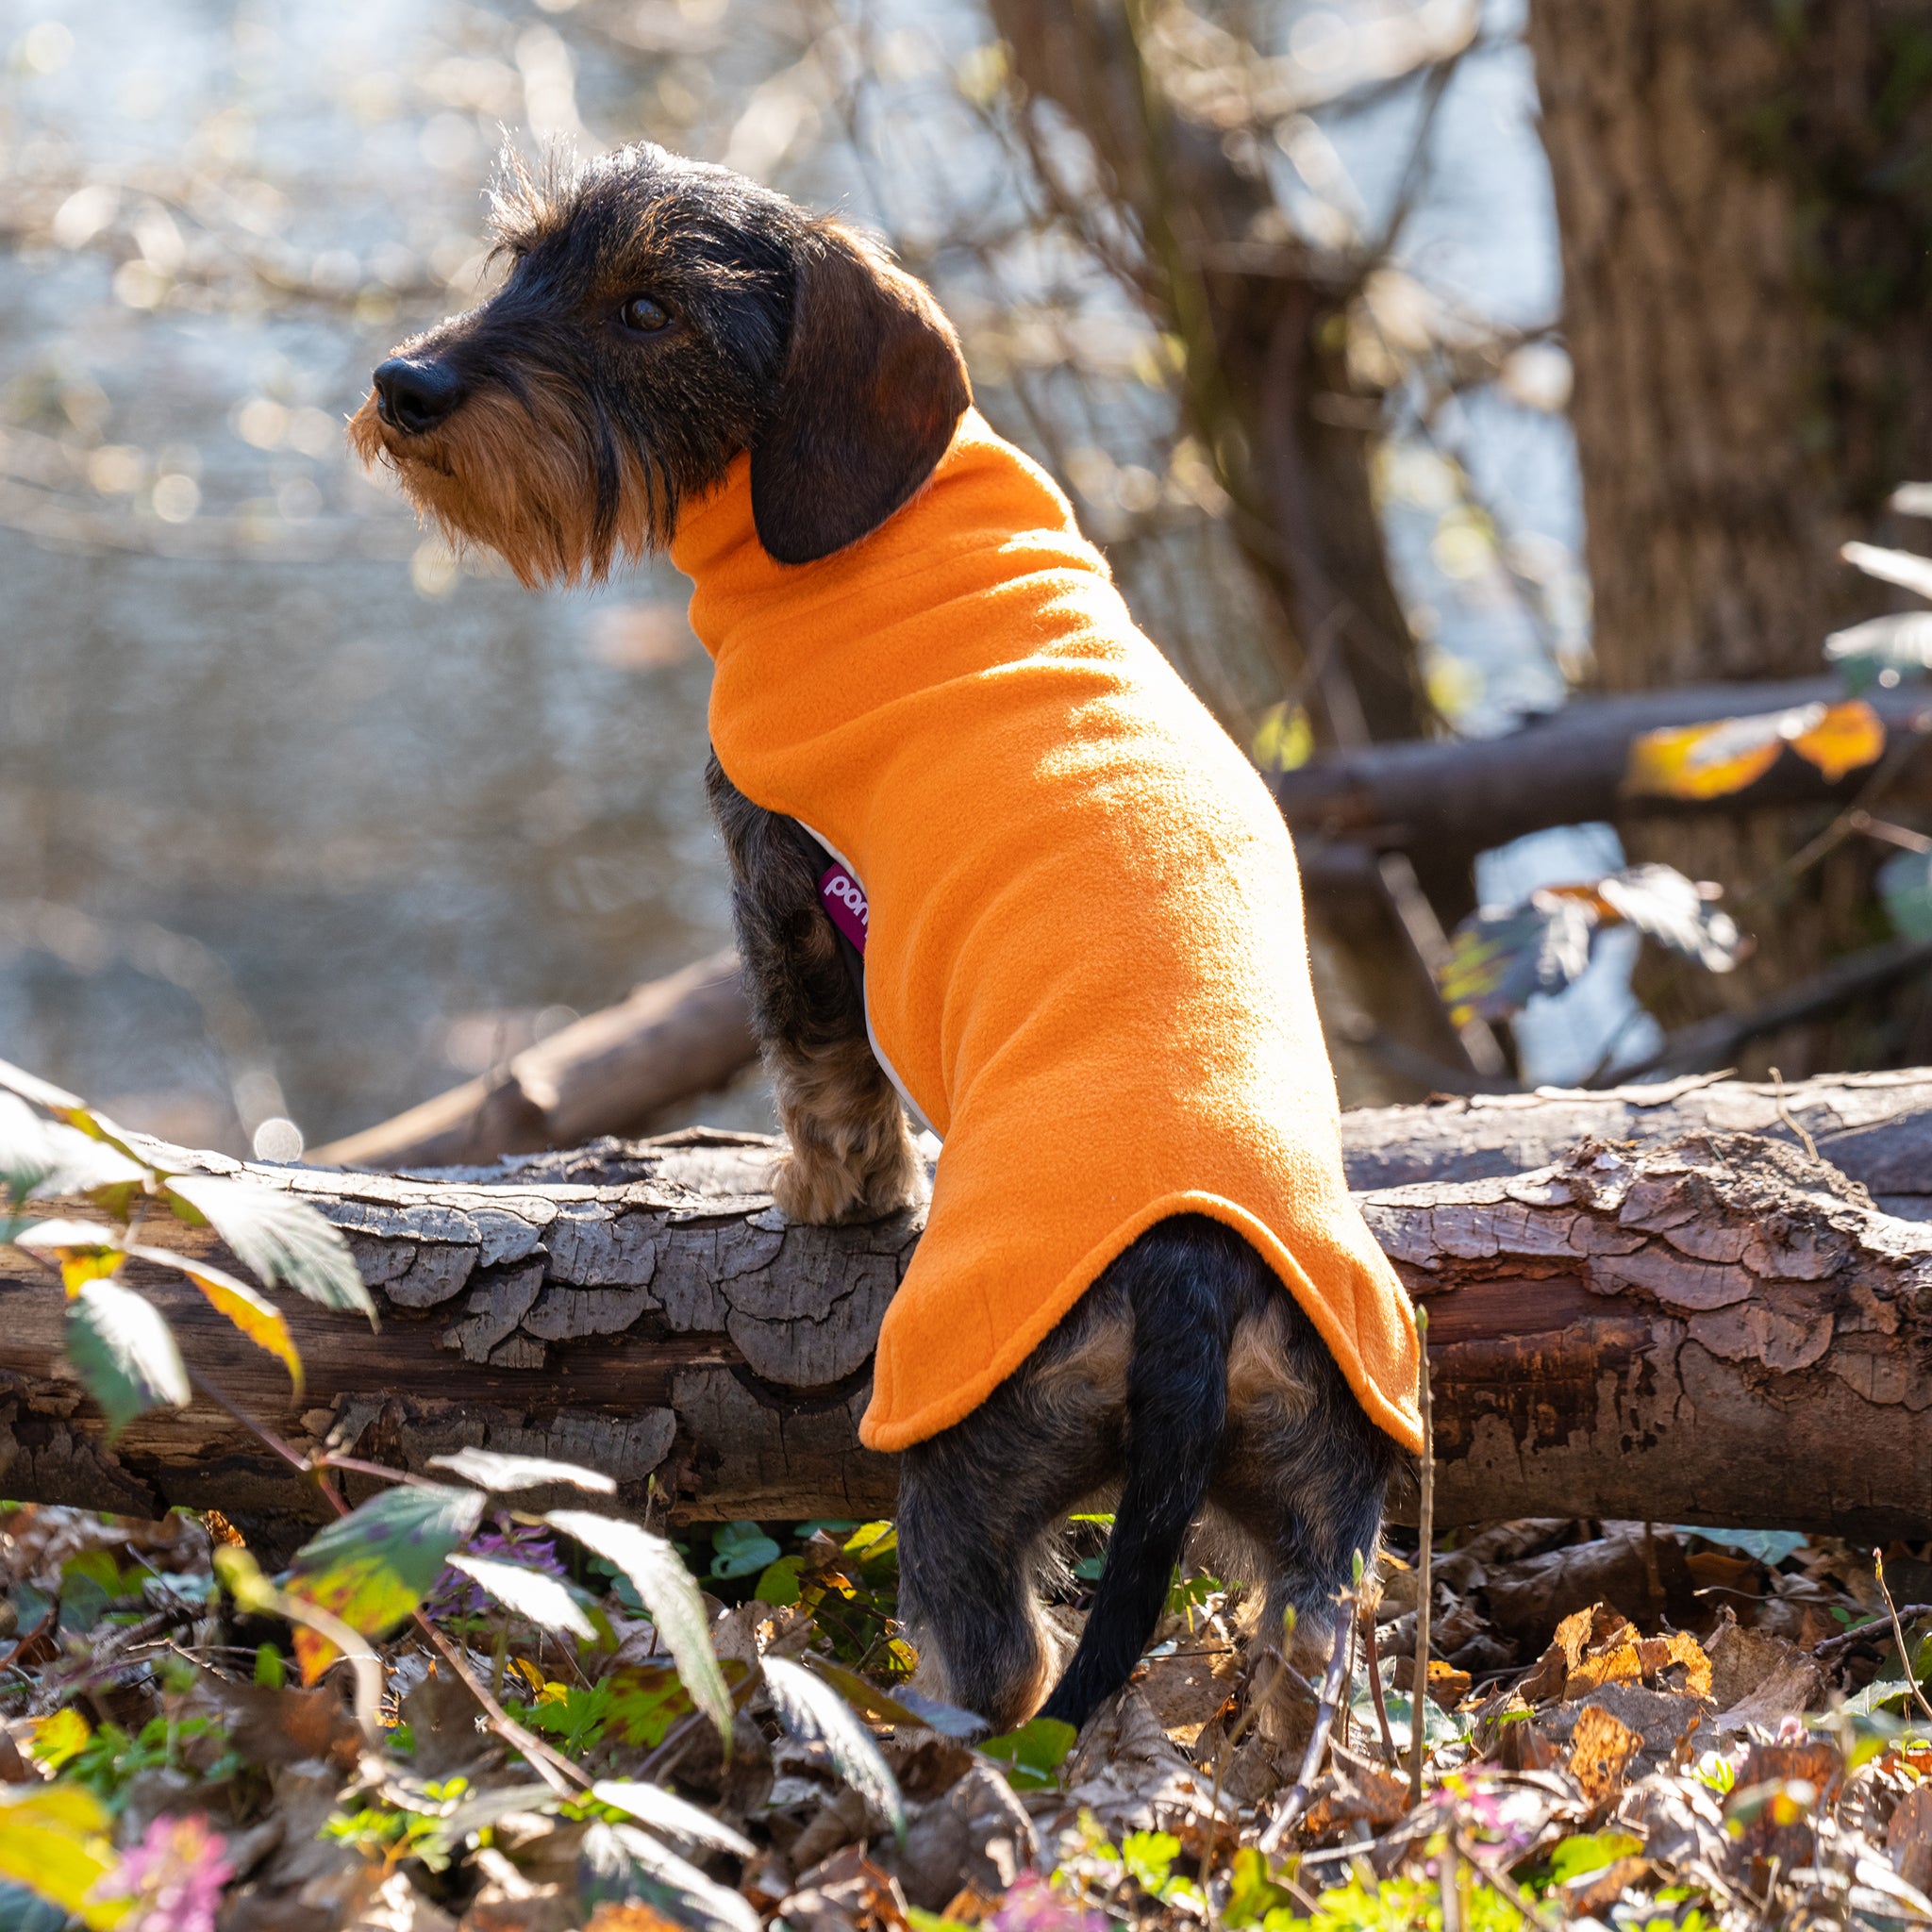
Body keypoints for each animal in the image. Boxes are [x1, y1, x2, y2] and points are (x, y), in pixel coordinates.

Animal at [355, 142, 1422, 1731]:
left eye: (650, 306)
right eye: (523, 258)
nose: (408, 383)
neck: (882, 516)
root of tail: (1188, 1271)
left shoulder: (782, 875)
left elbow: (821, 1071)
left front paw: (829, 1194)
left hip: (970, 1463)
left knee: (1005, 1663)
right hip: (1315, 1494)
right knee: (1304, 1669)